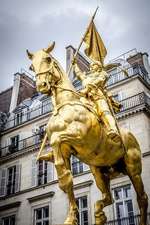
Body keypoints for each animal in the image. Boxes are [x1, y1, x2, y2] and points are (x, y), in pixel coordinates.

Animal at [26, 42, 148, 225]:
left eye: (47, 59)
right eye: (32, 67)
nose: (42, 86)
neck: (65, 104)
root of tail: (130, 136)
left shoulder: (79, 136)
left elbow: (56, 140)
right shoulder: (66, 151)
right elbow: (66, 179)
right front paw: (71, 217)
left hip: (133, 169)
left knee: (142, 198)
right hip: (99, 171)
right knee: (108, 197)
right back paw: (99, 214)